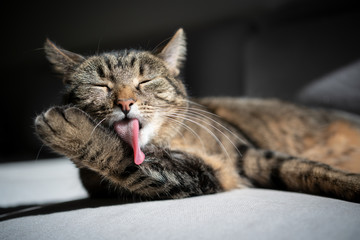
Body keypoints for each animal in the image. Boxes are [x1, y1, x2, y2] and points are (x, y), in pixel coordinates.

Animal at [34, 28, 360, 202]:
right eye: (100, 85)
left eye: (145, 81)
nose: (125, 103)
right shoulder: (202, 176)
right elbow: (134, 166)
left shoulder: (246, 156)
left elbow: (314, 170)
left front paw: (72, 131)